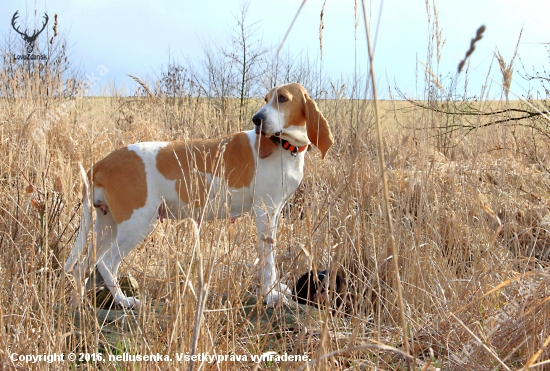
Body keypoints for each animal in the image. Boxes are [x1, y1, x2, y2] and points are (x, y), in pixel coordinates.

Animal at [63, 83, 334, 310]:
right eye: (266, 99)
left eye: (282, 98)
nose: (257, 119)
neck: (285, 148)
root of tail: (102, 163)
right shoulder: (264, 211)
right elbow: (267, 263)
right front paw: (270, 296)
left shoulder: (275, 212)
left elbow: (271, 259)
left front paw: (276, 291)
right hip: (136, 224)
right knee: (106, 263)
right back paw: (123, 301)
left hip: (106, 226)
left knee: (82, 267)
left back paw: (79, 306)